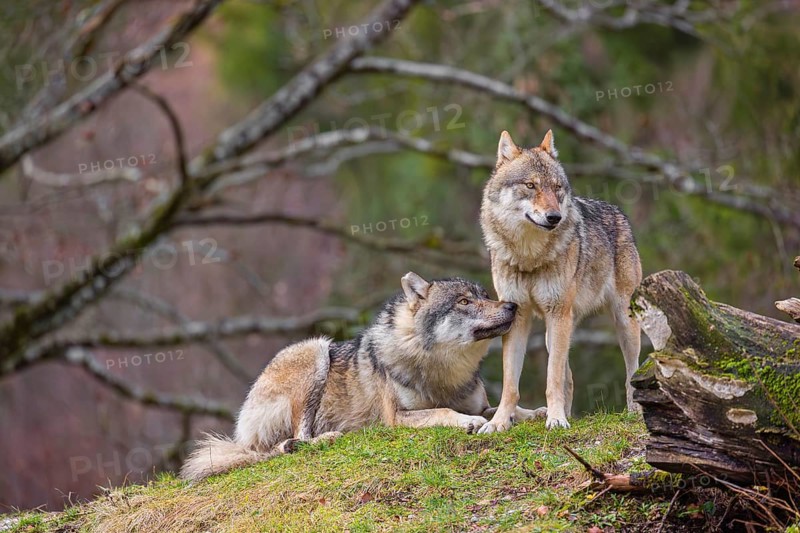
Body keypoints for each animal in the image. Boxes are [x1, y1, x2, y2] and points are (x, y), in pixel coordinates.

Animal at [181, 272, 545, 481]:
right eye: (465, 302)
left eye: (485, 295)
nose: (512, 306)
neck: (442, 370)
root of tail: (241, 430)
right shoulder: (397, 417)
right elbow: (443, 411)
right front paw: (466, 422)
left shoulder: (478, 403)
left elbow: (502, 409)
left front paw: (537, 413)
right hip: (315, 351)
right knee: (288, 442)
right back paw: (323, 439)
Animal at [477, 129, 642, 432]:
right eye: (530, 185)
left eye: (556, 188)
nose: (554, 216)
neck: (529, 256)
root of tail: (617, 211)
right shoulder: (517, 315)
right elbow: (511, 384)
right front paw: (499, 422)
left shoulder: (557, 313)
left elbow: (551, 378)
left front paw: (555, 420)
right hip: (554, 331)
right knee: (570, 377)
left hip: (620, 321)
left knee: (631, 371)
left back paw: (634, 412)